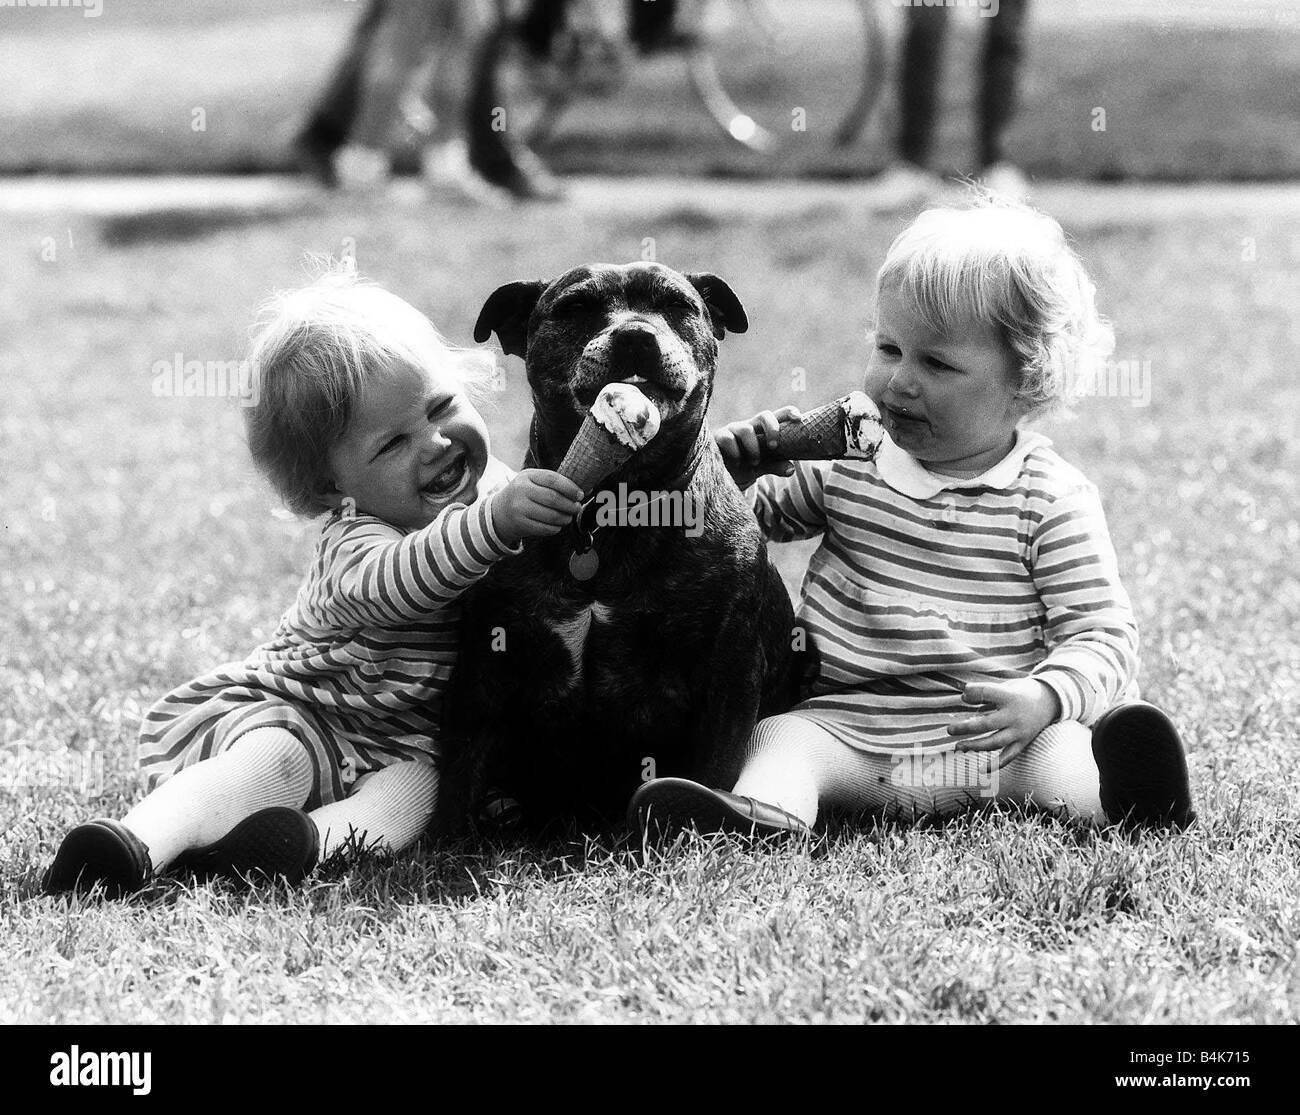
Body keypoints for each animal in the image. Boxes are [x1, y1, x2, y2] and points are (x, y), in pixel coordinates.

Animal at [441, 261, 795, 831]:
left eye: (677, 305)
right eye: (576, 308)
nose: (635, 335)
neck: (609, 509)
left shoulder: (729, 674)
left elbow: (714, 770)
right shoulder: (481, 672)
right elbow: (455, 785)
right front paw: (445, 841)